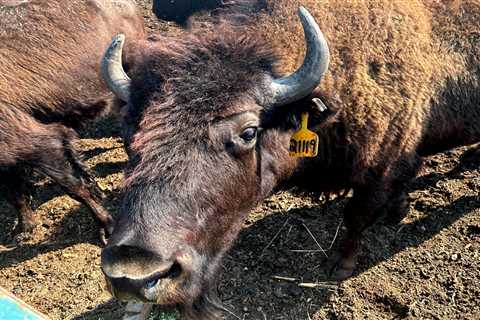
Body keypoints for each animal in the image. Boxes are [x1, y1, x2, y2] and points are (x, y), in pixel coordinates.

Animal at [99, 0, 478, 318]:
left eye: (249, 131)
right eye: (128, 128)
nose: (133, 275)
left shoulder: (381, 168)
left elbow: (356, 216)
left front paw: (339, 264)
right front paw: (398, 210)